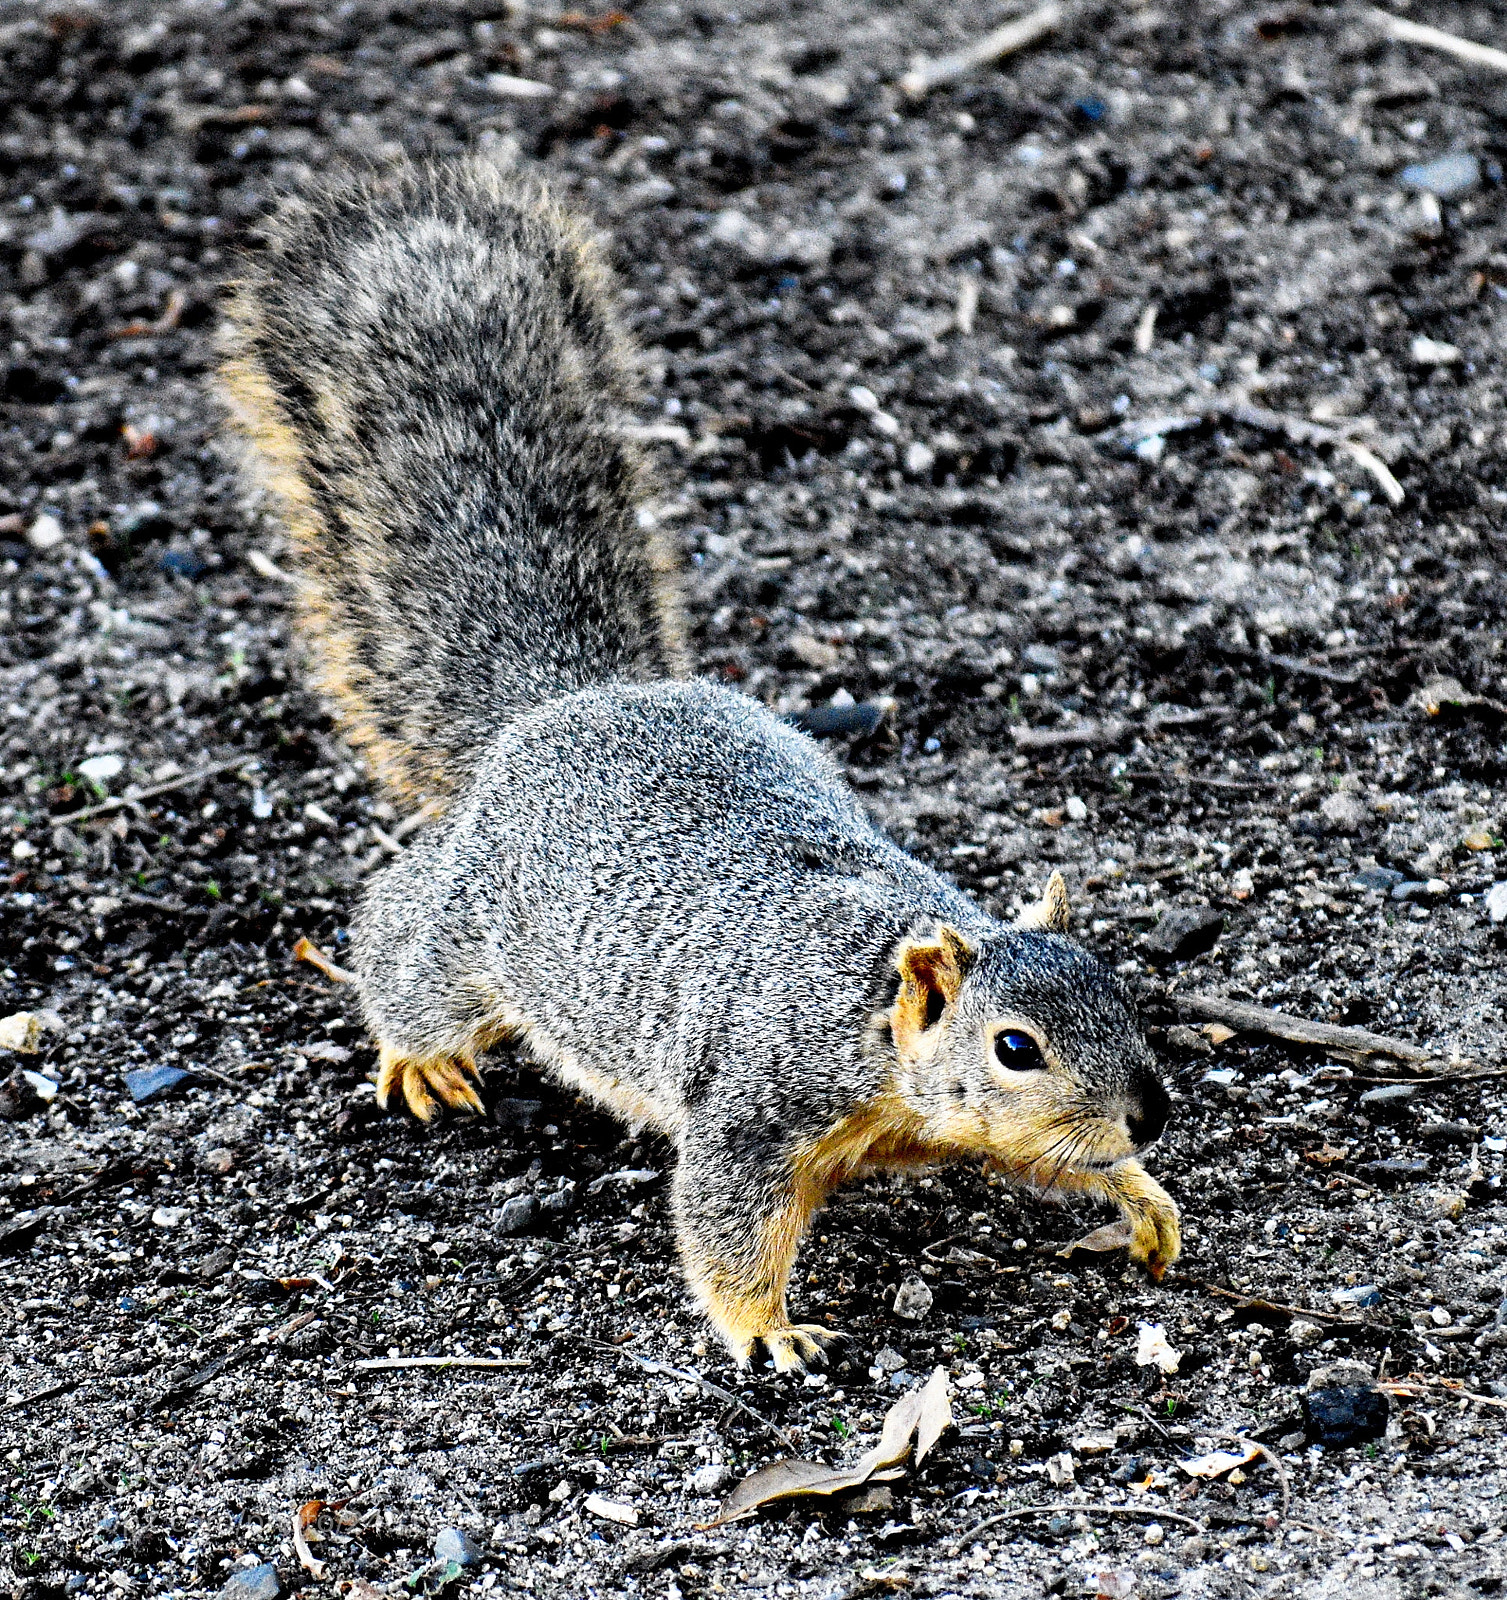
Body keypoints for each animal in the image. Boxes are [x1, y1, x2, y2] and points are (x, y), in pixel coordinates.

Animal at [220, 157, 1180, 1372]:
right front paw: (770, 1332)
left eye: (1118, 986)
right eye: (1014, 1046)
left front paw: (1143, 1197)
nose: (1150, 1113)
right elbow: (726, 1225)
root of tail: (570, 701)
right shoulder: (755, 1106)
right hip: (468, 926)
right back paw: (418, 1055)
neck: (872, 1022)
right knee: (403, 941)